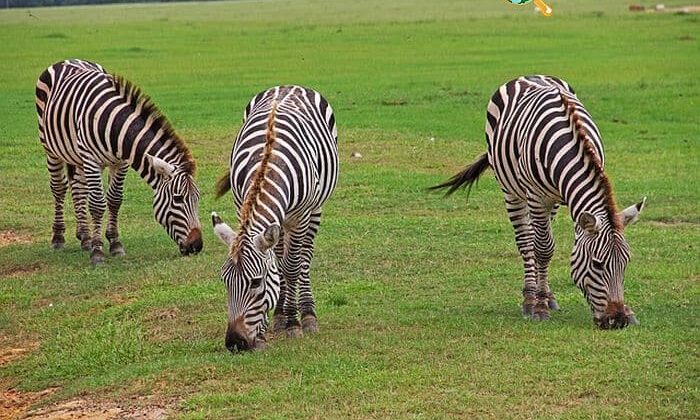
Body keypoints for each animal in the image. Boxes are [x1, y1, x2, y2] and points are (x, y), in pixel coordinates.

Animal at [35, 59, 203, 265]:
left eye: (197, 198)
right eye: (178, 199)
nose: (197, 246)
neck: (115, 126)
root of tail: (69, 60)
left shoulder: (121, 162)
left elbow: (115, 200)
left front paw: (115, 244)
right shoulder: (92, 160)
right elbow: (97, 204)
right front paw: (97, 252)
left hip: (78, 157)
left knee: (78, 189)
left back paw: (85, 237)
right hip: (51, 149)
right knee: (59, 188)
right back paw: (59, 238)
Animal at [212, 85, 338, 351]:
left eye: (256, 283)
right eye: (224, 281)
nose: (234, 344)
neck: (267, 163)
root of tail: (290, 86)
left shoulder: (299, 217)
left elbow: (291, 268)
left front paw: (293, 323)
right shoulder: (241, 207)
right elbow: (277, 266)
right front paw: (266, 328)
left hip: (315, 209)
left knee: (305, 258)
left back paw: (307, 314)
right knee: (279, 256)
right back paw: (279, 314)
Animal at [431, 75, 645, 329]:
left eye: (626, 263)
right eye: (597, 264)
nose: (618, 321)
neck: (568, 147)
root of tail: (528, 76)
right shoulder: (536, 196)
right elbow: (543, 249)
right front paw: (539, 307)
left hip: (551, 203)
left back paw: (548, 294)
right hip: (511, 191)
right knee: (526, 242)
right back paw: (530, 298)